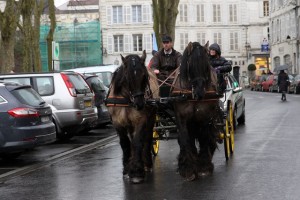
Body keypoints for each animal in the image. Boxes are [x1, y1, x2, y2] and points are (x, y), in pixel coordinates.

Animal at [107, 50, 161, 184]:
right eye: (127, 76)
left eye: (145, 76)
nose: (140, 104)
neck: (127, 99)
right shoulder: (117, 122)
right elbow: (125, 143)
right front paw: (127, 169)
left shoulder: (140, 120)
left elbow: (137, 142)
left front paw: (137, 171)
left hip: (151, 117)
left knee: (147, 138)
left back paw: (147, 163)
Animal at [171, 41, 220, 180]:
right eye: (191, 65)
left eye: (206, 66)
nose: (199, 93)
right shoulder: (181, 118)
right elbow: (185, 139)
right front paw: (187, 168)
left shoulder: (205, 117)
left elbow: (204, 137)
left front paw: (204, 167)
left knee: (210, 134)